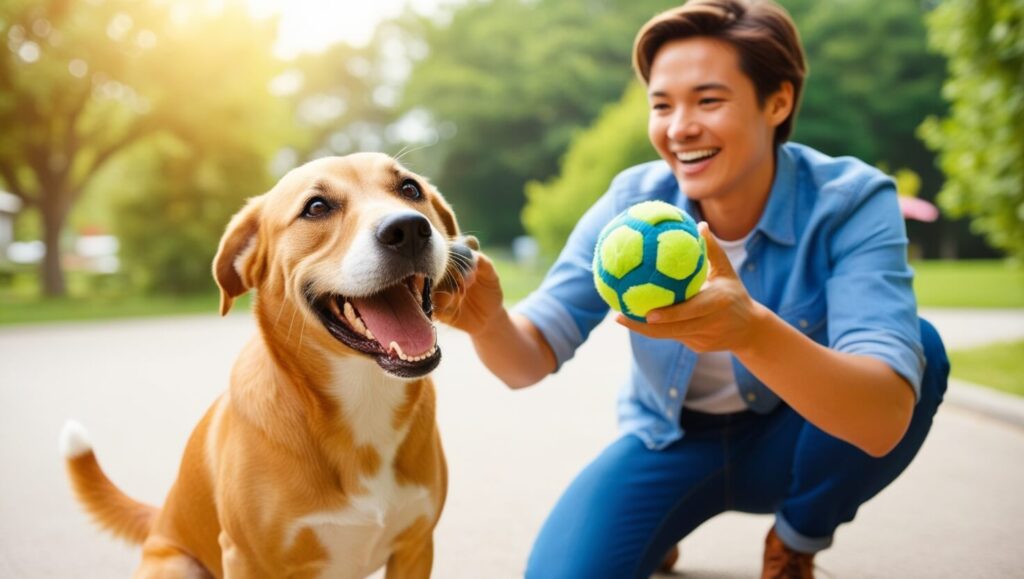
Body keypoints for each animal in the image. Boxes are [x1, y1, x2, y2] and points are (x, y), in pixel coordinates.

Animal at [59, 153, 468, 577]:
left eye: (410, 189)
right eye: (316, 207)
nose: (408, 229)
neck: (364, 396)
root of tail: (160, 519)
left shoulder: (415, 547)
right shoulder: (246, 559)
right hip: (177, 565)